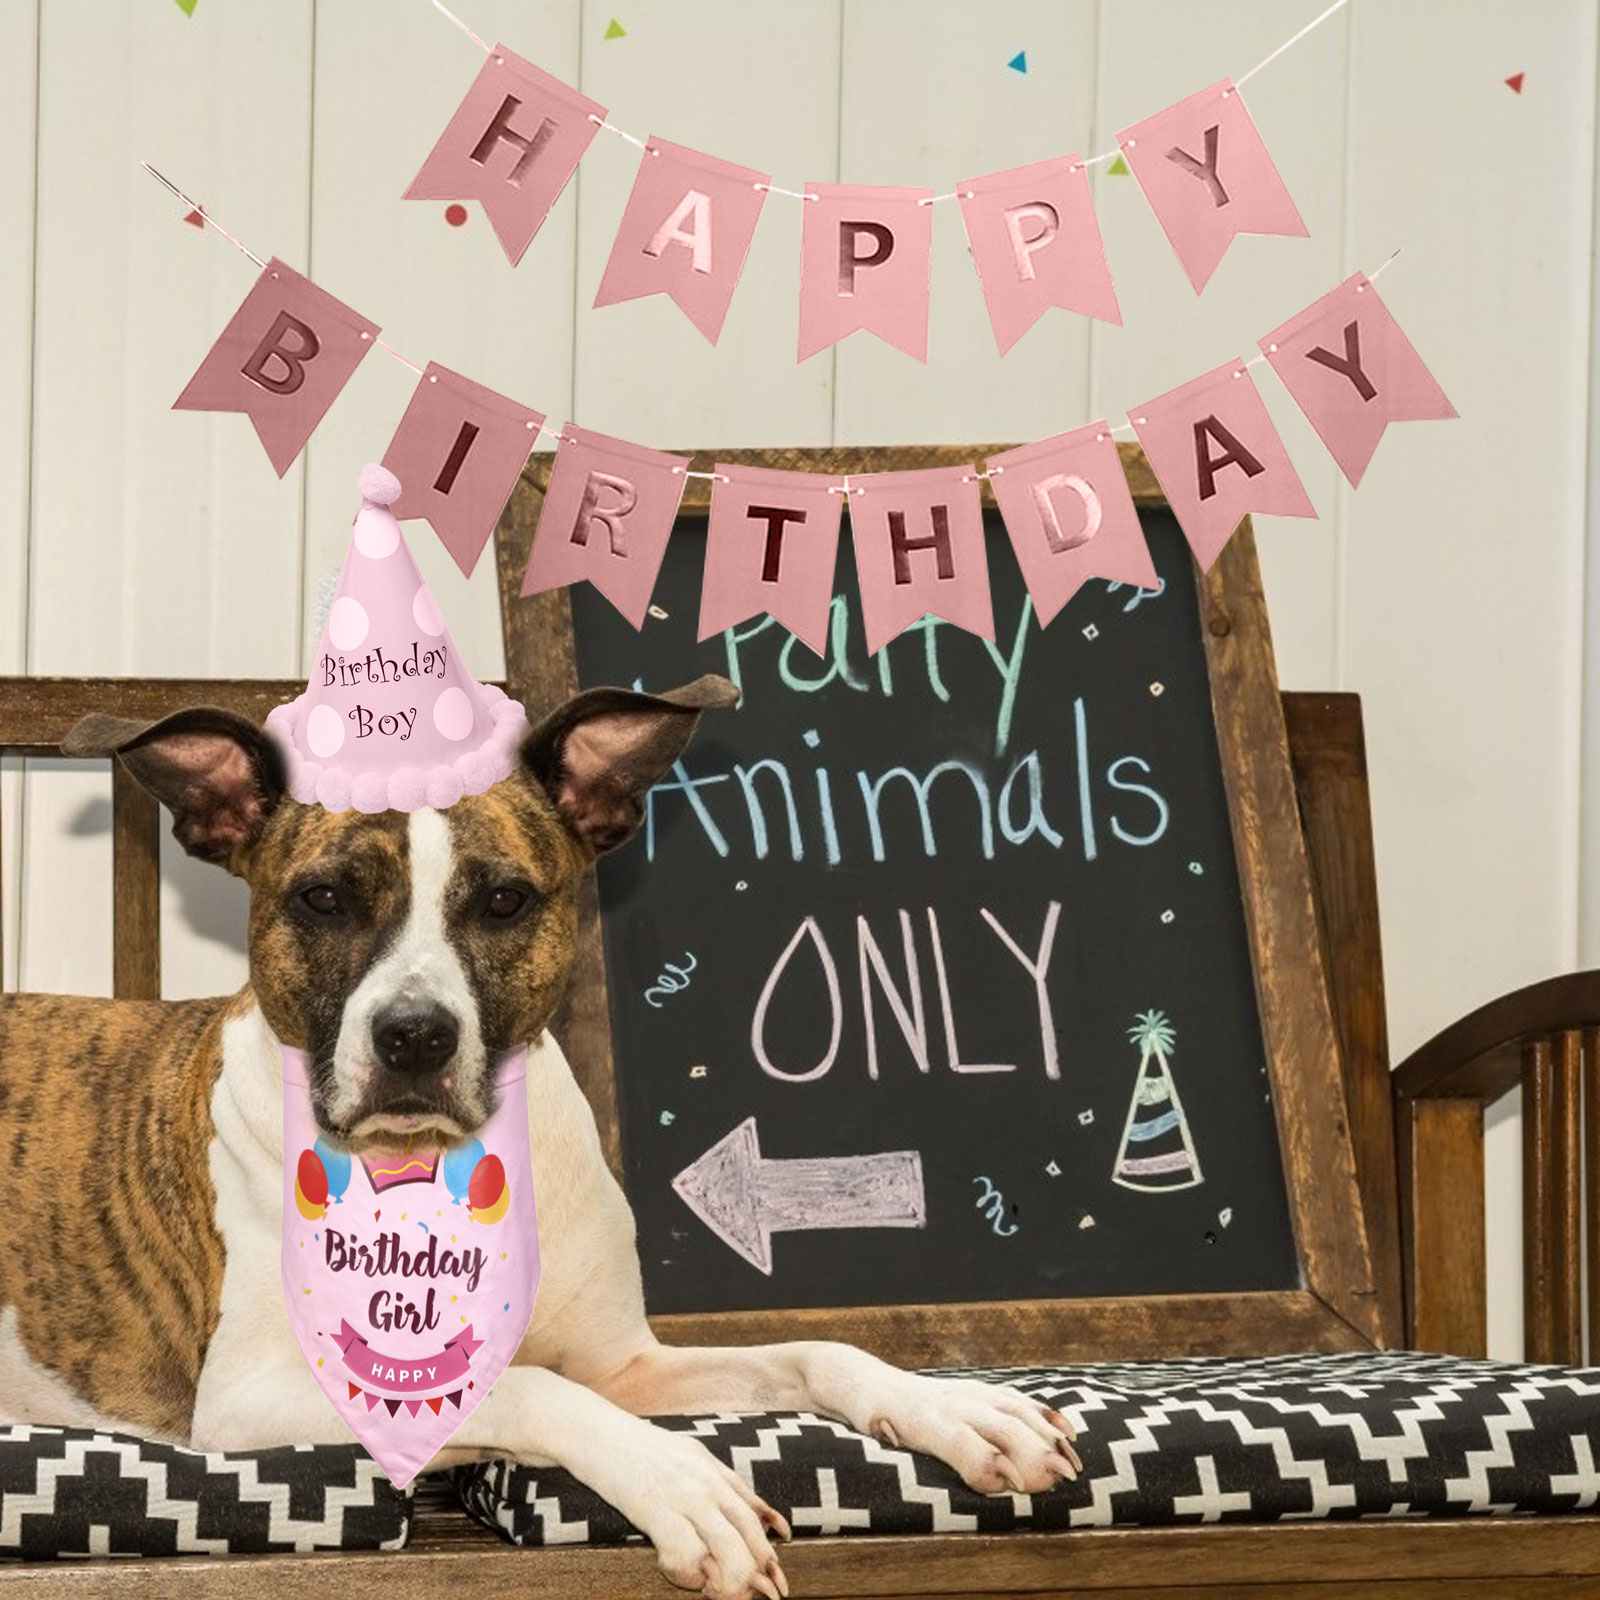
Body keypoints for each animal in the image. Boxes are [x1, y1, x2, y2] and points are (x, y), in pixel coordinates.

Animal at [0, 676, 1081, 1598]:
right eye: (322, 898)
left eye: (505, 899)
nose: (415, 1037)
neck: (436, 1173)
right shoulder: (254, 1395)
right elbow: (528, 1390)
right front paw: (683, 1482)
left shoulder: (628, 1366)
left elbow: (812, 1352)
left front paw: (954, 1406)